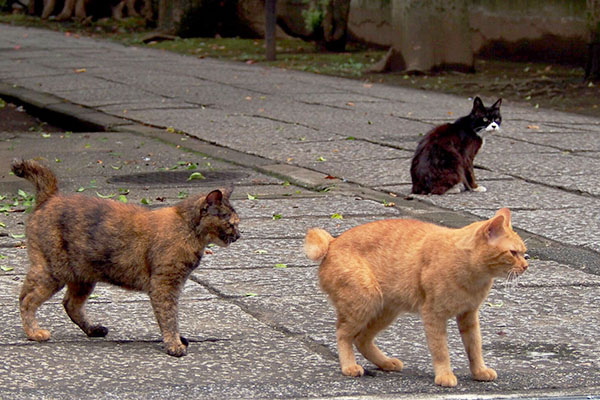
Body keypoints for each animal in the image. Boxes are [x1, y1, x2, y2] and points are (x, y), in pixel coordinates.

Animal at [9, 159, 239, 356]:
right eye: (231, 223)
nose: (239, 235)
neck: (186, 228)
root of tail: (50, 197)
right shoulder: (165, 285)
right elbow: (169, 317)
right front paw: (174, 344)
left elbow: (170, 317)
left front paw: (177, 340)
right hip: (52, 272)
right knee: (26, 299)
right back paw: (34, 333)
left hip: (82, 278)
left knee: (69, 304)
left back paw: (93, 329)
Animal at [308, 208, 528, 386]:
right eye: (513, 253)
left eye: (524, 253)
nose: (526, 266)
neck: (473, 274)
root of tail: (332, 242)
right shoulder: (433, 315)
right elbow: (441, 350)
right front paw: (444, 375)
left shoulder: (469, 315)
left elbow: (474, 347)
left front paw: (479, 371)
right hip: (365, 303)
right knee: (343, 334)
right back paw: (349, 366)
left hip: (385, 311)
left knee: (361, 339)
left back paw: (386, 362)